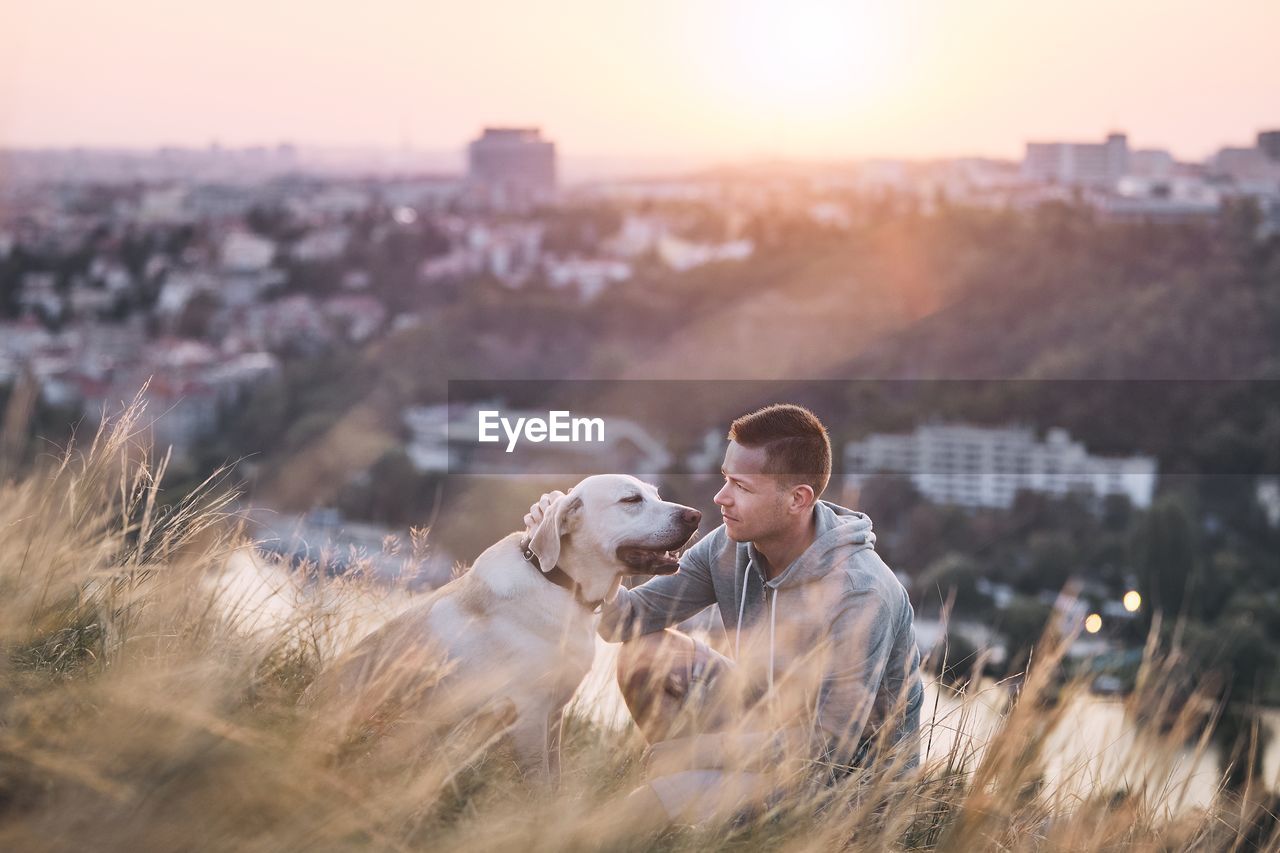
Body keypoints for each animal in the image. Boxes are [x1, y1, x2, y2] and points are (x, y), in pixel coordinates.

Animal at [302, 473, 701, 778]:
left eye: (657, 495)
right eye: (631, 499)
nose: (695, 515)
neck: (559, 583)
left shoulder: (554, 714)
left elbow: (556, 777)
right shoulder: (529, 713)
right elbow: (540, 782)